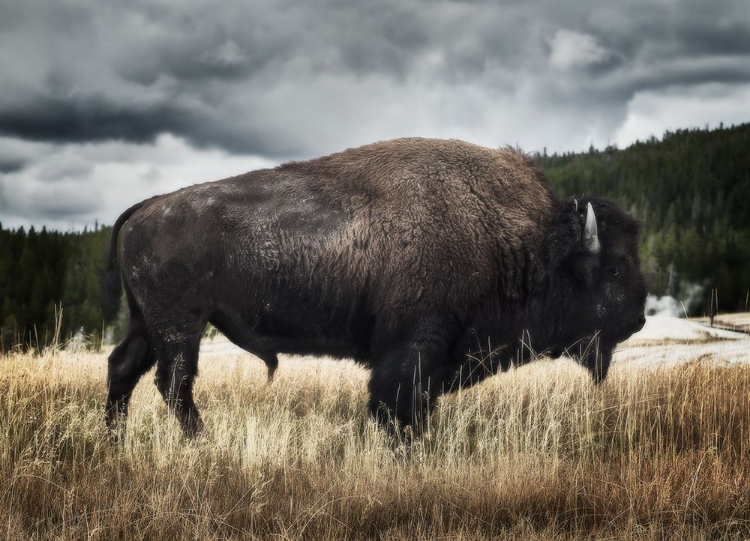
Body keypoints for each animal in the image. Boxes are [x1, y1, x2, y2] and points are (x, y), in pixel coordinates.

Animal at [103, 137, 648, 436]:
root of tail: (147, 207)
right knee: (174, 383)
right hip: (180, 325)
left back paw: (115, 441)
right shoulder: (413, 349)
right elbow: (397, 406)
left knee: (124, 368)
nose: (639, 317)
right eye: (613, 270)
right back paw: (203, 442)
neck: (519, 238)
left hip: (148, 323)